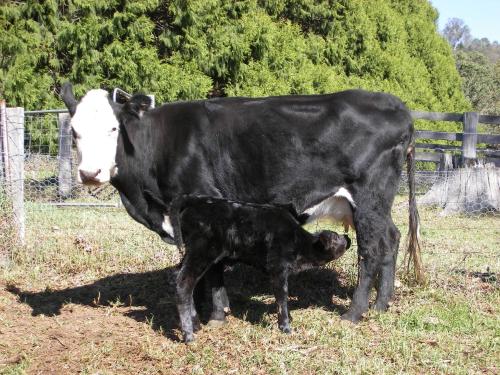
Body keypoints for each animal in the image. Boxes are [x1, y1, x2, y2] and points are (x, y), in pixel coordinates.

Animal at [60, 83, 420, 324]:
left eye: (113, 128)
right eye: (74, 132)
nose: (89, 173)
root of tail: (396, 105)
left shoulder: (206, 207)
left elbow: (213, 268)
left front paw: (215, 316)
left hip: (369, 197)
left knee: (370, 248)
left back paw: (354, 313)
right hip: (376, 204)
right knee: (391, 238)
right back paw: (381, 305)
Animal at [170, 197, 350, 344]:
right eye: (336, 237)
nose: (347, 237)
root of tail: (193, 201)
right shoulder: (277, 269)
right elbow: (282, 298)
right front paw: (285, 326)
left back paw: (196, 325)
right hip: (201, 252)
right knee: (183, 282)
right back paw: (188, 335)